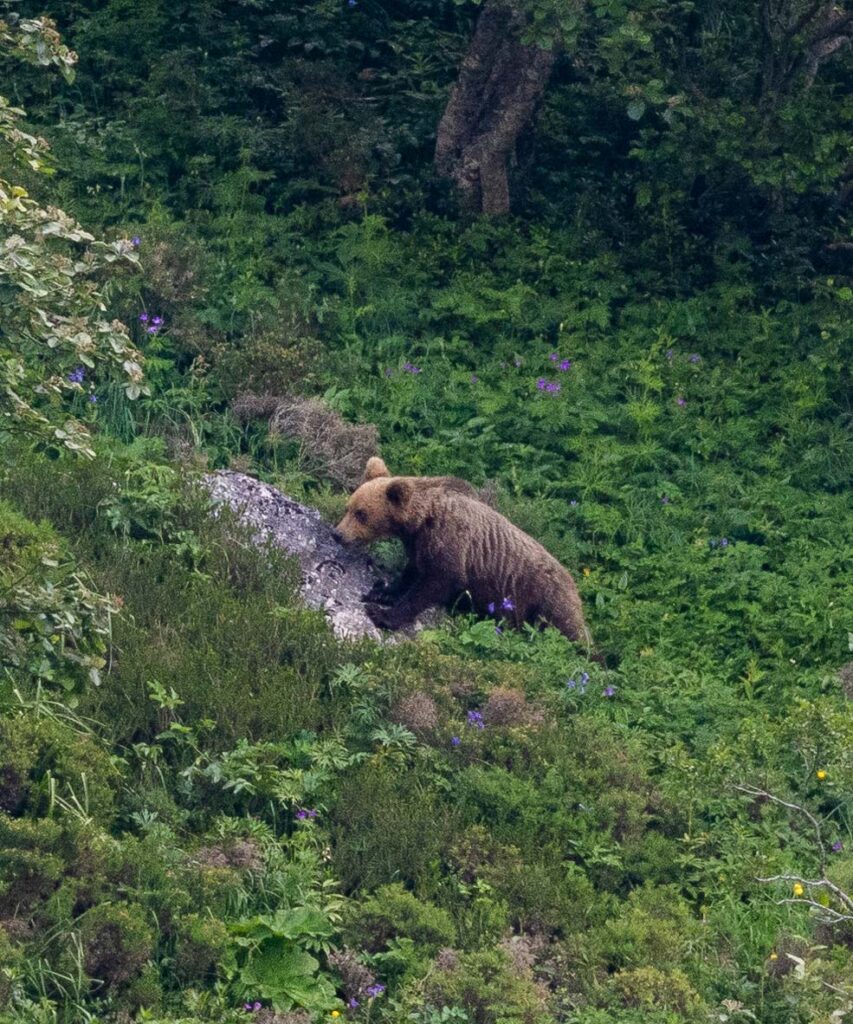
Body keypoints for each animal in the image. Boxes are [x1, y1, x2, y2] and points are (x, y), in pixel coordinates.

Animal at [333, 458, 593, 647]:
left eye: (361, 514)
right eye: (348, 507)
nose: (338, 534)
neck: (422, 520)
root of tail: (575, 585)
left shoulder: (452, 543)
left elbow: (435, 584)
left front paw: (383, 614)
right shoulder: (420, 545)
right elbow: (412, 570)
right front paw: (383, 591)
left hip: (545, 599)